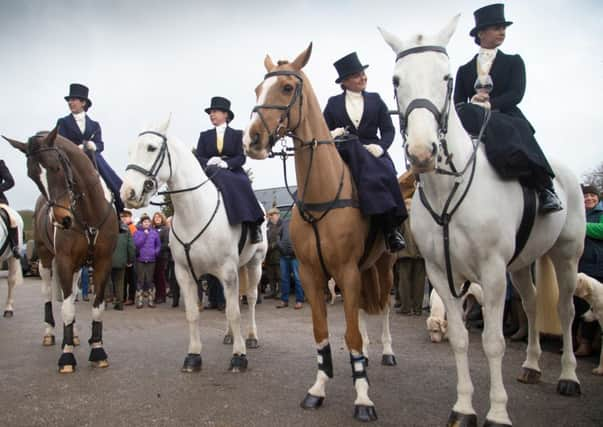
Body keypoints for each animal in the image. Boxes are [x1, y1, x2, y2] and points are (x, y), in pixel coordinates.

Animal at [4, 130, 118, 374]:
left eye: (56, 167)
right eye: (32, 177)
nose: (62, 220)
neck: (88, 213)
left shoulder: (103, 261)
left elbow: (97, 307)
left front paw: (98, 350)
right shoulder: (64, 261)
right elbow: (66, 309)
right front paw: (67, 356)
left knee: (73, 294)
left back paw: (73, 336)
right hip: (47, 260)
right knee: (48, 295)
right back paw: (51, 334)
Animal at [120, 118, 266, 372]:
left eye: (151, 148)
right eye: (129, 150)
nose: (127, 193)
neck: (195, 211)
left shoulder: (228, 271)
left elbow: (235, 312)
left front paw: (239, 356)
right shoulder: (184, 273)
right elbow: (192, 314)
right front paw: (193, 355)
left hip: (254, 264)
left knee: (251, 299)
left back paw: (251, 337)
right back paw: (229, 335)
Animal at [243, 45, 398, 422]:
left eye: (287, 87)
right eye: (258, 89)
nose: (251, 139)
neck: (320, 193)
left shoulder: (344, 271)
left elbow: (351, 335)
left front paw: (363, 398)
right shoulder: (313, 274)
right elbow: (322, 332)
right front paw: (318, 388)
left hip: (384, 267)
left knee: (384, 308)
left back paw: (386, 352)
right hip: (363, 269)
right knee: (363, 312)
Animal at [382, 15, 584, 426]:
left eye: (446, 77)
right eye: (396, 80)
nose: (422, 153)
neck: (448, 188)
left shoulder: (490, 272)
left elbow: (492, 343)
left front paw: (497, 413)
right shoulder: (440, 272)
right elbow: (460, 338)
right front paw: (463, 409)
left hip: (566, 256)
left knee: (565, 310)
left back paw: (569, 377)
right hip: (521, 265)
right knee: (532, 304)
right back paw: (532, 366)